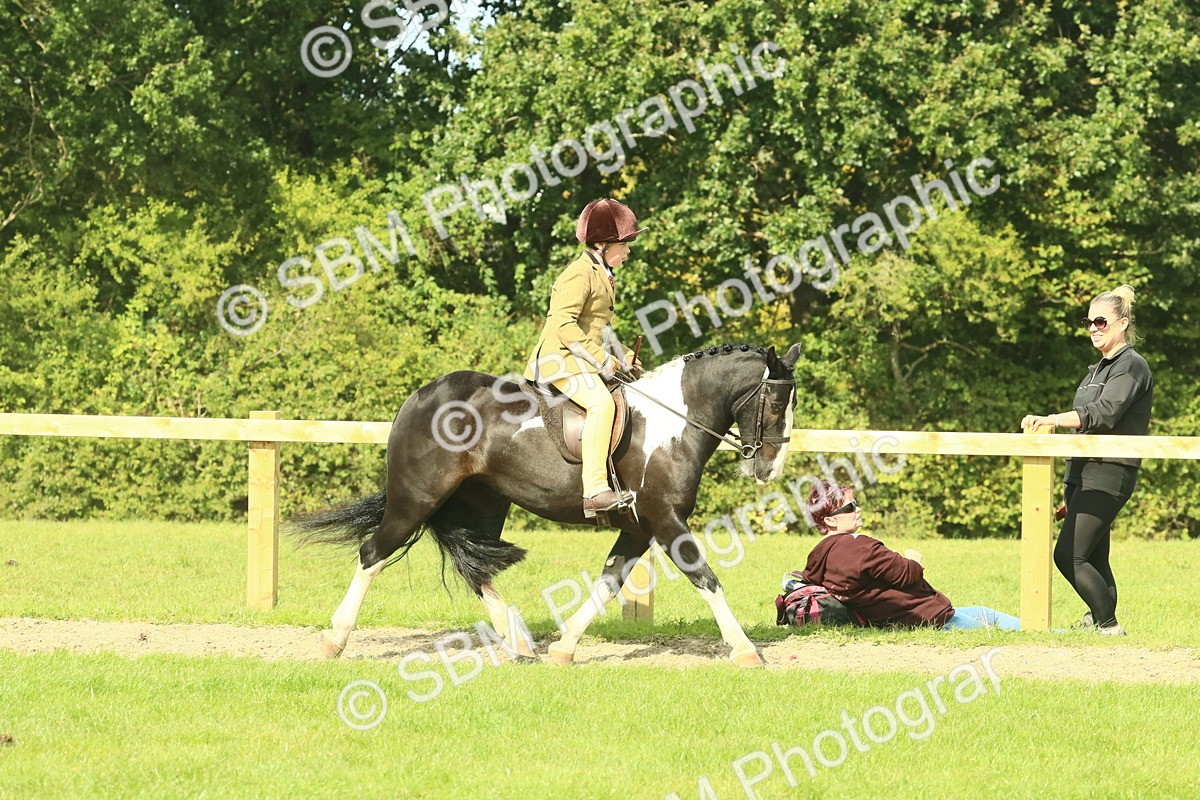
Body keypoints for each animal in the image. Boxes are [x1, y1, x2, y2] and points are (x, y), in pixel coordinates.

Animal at [292, 342, 801, 667]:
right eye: (776, 405)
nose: (770, 469)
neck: (670, 424)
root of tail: (420, 396)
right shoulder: (666, 519)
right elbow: (706, 578)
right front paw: (745, 650)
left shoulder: (639, 526)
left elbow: (609, 582)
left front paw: (564, 648)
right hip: (416, 499)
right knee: (373, 554)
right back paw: (334, 640)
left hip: (484, 504)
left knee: (474, 568)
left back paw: (518, 643)